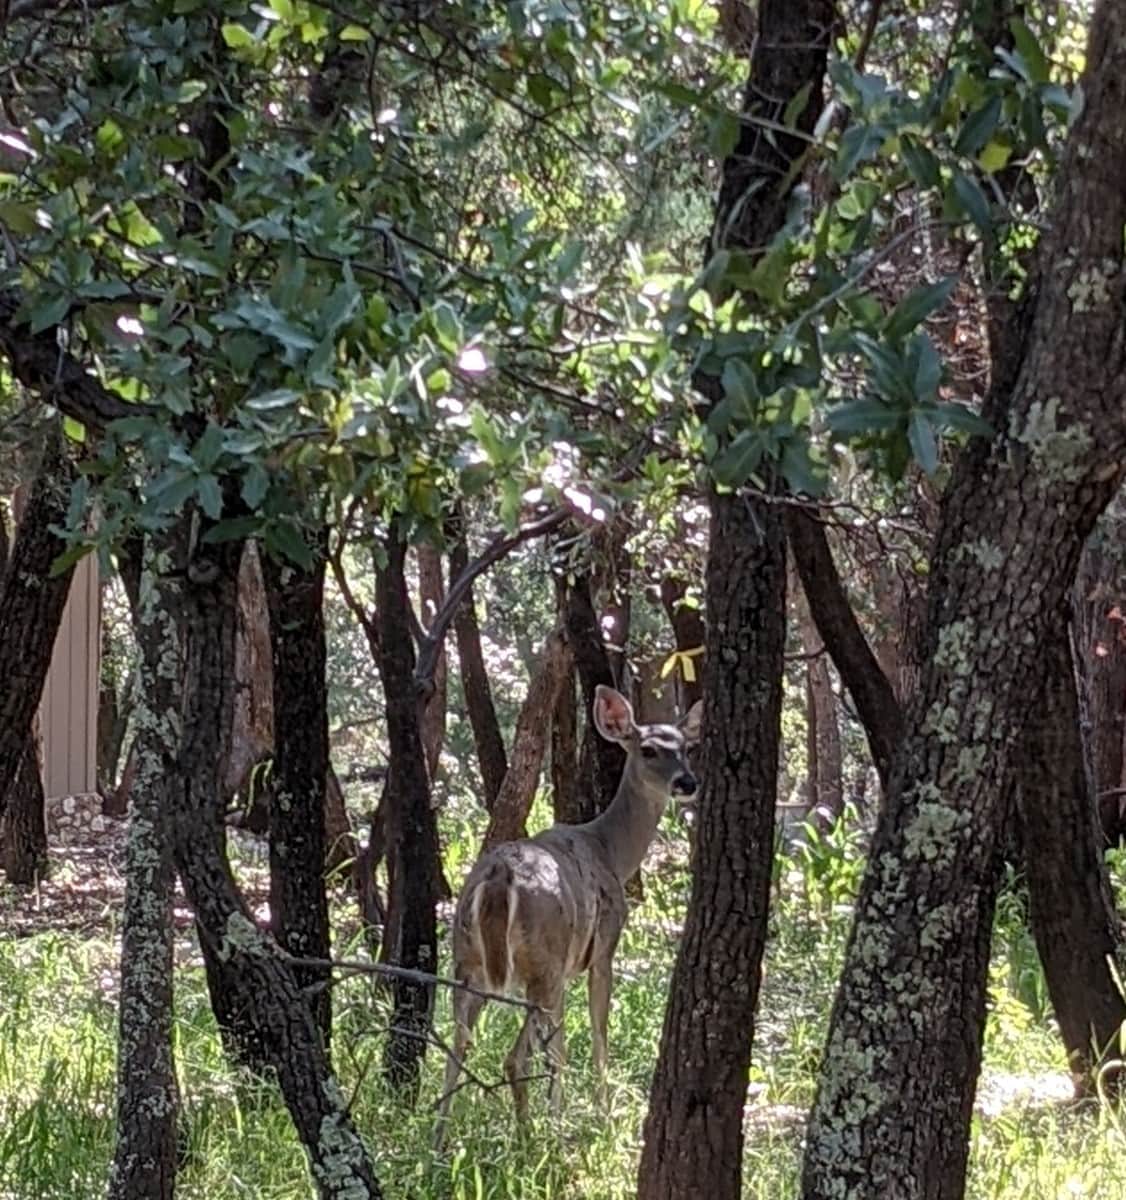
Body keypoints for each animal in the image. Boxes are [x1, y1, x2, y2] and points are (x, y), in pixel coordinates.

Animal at [433, 684, 702, 1148]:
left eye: (686, 747)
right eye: (648, 749)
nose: (687, 782)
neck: (611, 851)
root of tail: (499, 878)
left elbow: (558, 1048)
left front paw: (564, 1118)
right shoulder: (603, 950)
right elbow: (596, 1034)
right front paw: (602, 1117)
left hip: (468, 961)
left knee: (458, 1046)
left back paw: (439, 1140)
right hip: (544, 962)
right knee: (517, 1058)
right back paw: (532, 1141)